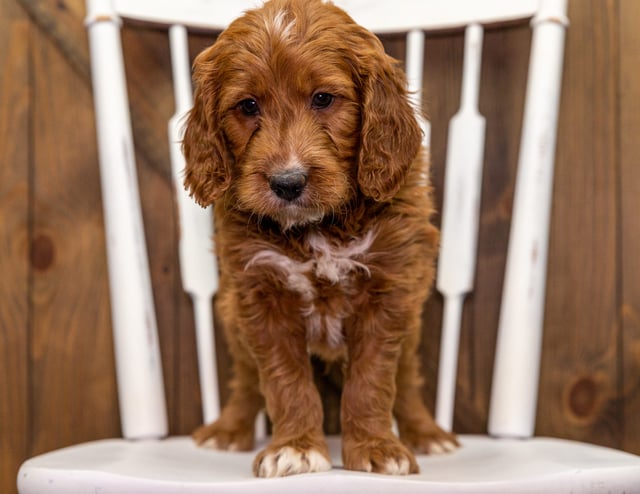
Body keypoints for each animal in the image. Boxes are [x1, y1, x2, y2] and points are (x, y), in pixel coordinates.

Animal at [182, 0, 458, 478]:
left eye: (324, 99)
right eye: (248, 106)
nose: (287, 182)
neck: (317, 228)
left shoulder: (389, 289)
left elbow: (373, 380)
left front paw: (376, 448)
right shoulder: (261, 293)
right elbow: (283, 380)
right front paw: (295, 447)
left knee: (407, 380)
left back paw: (427, 434)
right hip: (232, 319)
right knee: (245, 380)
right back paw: (228, 429)